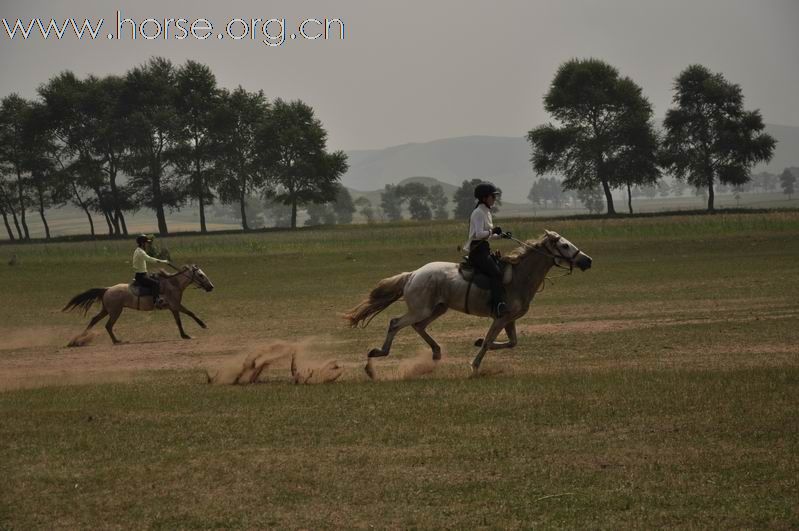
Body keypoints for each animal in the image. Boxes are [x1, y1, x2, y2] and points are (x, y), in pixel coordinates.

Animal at [62, 266, 214, 344]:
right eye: (201, 275)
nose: (211, 287)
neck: (173, 284)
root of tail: (107, 289)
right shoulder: (175, 306)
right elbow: (184, 317)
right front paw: (194, 331)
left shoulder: (174, 307)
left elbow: (185, 317)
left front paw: (194, 330)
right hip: (115, 312)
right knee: (108, 325)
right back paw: (117, 341)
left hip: (106, 310)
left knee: (94, 320)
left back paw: (78, 339)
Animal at [344, 231, 592, 376]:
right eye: (565, 246)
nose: (588, 261)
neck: (520, 277)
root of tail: (413, 274)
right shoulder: (501, 317)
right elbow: (491, 341)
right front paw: (474, 365)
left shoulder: (509, 318)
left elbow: (511, 342)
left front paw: (478, 342)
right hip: (421, 309)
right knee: (396, 323)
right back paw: (374, 359)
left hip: (437, 308)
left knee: (418, 326)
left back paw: (436, 352)